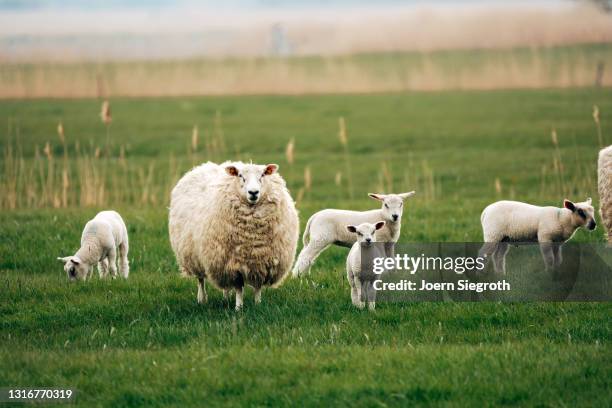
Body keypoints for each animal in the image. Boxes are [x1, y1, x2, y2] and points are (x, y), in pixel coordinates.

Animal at [170, 161, 298, 310]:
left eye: (262, 175)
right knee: (201, 280)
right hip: (194, 257)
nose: (253, 192)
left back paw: (226, 297)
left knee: (225, 286)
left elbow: (257, 287)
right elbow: (238, 288)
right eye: (240, 176)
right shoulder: (234, 265)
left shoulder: (260, 262)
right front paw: (238, 307)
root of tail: (201, 167)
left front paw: (258, 304)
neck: (252, 237)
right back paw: (202, 299)